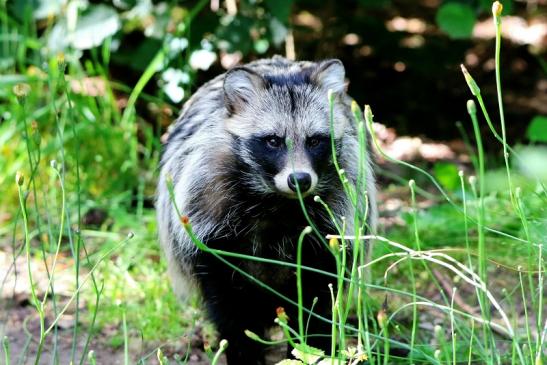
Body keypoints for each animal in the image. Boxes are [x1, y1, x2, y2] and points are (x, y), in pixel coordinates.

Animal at [156, 57, 374, 364]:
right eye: (273, 140)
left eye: (315, 140)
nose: (299, 179)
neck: (277, 202)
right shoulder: (210, 220)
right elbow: (230, 308)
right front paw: (243, 353)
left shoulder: (331, 226)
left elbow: (317, 299)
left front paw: (309, 350)